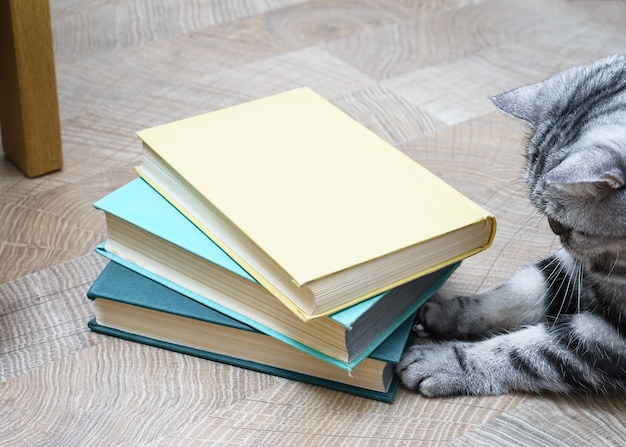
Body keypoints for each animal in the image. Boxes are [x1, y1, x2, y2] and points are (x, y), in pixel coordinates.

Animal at [394, 55, 624, 400]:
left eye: (559, 222)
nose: (554, 232)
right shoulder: (571, 270)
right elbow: (510, 295)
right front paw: (445, 311)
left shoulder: (610, 337)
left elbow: (525, 352)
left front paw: (445, 360)